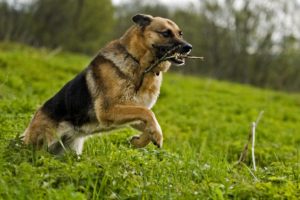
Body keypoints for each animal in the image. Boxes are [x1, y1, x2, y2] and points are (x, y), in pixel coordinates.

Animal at [22, 14, 193, 155]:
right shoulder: (109, 110)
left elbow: (148, 120)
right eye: (166, 33)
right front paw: (156, 135)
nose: (188, 47)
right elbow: (149, 114)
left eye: (180, 33)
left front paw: (140, 141)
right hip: (41, 143)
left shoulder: (131, 110)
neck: (140, 65)